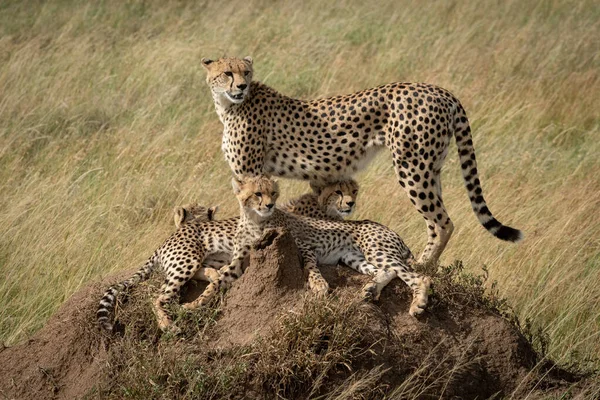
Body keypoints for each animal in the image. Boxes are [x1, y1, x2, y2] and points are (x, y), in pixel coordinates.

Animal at [199, 175, 428, 316]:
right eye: (257, 194)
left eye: (273, 193)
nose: (270, 205)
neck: (254, 219)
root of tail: (390, 230)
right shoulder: (240, 258)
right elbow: (220, 279)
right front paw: (197, 302)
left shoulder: (305, 246)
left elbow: (310, 267)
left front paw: (318, 285)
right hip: (353, 257)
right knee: (387, 271)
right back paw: (372, 289)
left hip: (376, 250)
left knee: (418, 276)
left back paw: (418, 304)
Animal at [200, 56, 520, 266]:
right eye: (227, 73)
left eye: (246, 72)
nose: (241, 86)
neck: (229, 105)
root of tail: (440, 90)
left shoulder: (249, 171)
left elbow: (249, 212)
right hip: (432, 166)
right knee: (435, 219)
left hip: (411, 167)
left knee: (443, 222)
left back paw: (422, 266)